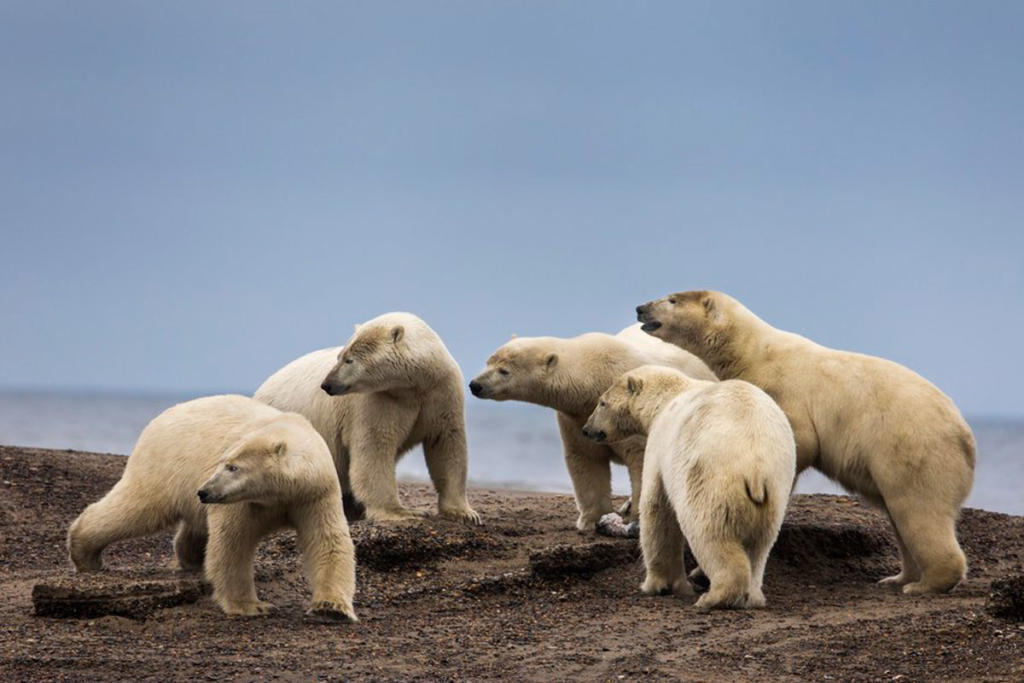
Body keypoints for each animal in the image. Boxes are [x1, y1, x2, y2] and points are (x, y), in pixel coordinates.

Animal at [67, 393, 356, 622]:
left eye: (233, 467)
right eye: (223, 462)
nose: (204, 491)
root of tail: (160, 417)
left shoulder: (315, 493)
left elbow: (327, 541)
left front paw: (331, 607)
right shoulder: (243, 503)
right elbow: (232, 544)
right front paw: (250, 606)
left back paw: (192, 558)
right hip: (165, 466)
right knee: (136, 509)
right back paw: (85, 554)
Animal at [253, 313, 481, 528]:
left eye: (348, 359)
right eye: (340, 356)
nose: (327, 384)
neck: (412, 386)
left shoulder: (441, 392)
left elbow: (446, 443)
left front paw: (465, 513)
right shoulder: (376, 401)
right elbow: (374, 448)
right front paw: (402, 512)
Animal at [468, 323, 716, 532]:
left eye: (504, 371)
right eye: (489, 361)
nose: (475, 384)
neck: (593, 377)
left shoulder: (626, 414)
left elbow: (640, 459)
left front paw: (635, 519)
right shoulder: (576, 418)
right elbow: (586, 460)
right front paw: (591, 520)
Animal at [585, 366, 790, 610]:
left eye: (602, 402)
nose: (586, 429)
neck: (666, 397)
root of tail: (755, 467)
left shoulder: (661, 443)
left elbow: (656, 508)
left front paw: (657, 585)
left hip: (710, 481)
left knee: (709, 534)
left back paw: (714, 596)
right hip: (775, 489)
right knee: (760, 545)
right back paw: (753, 596)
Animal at [634, 290, 978, 593]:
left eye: (672, 299)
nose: (640, 308)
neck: (753, 351)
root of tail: (966, 436)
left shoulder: (785, 388)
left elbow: (800, 439)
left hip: (913, 449)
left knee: (918, 510)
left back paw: (924, 584)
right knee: (900, 517)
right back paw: (899, 577)